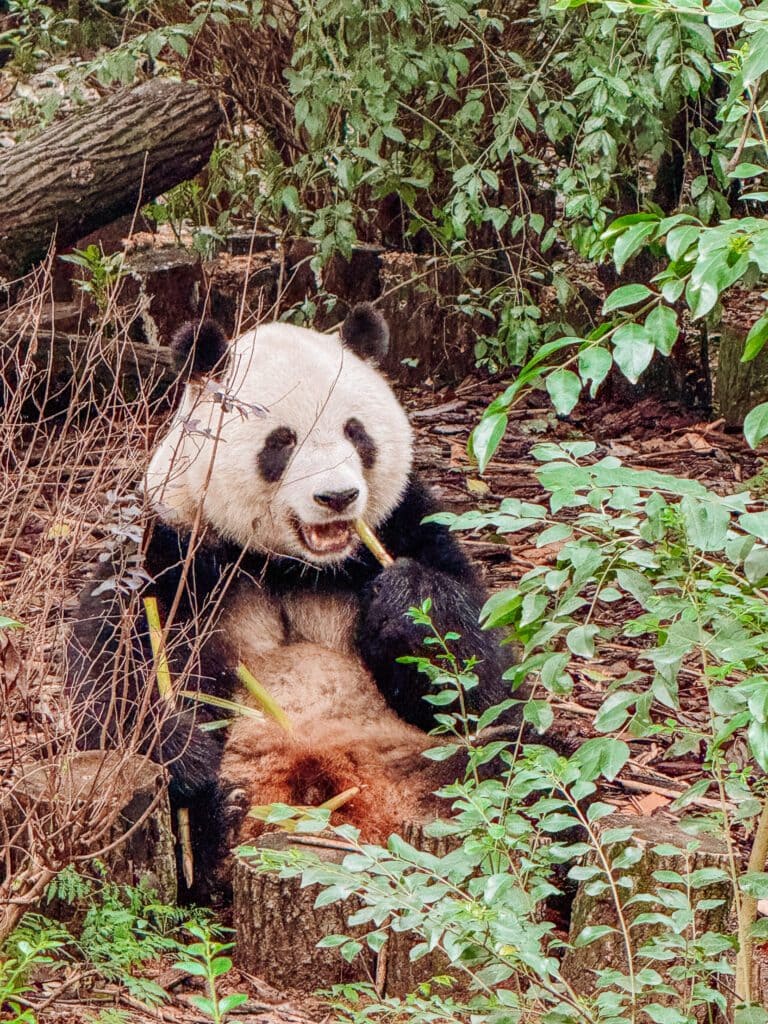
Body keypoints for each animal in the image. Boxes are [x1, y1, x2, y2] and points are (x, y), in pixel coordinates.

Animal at [68, 304, 517, 891]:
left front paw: (410, 600)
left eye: (356, 432)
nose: (338, 496)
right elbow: (107, 679)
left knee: (509, 763)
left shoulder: (407, 525)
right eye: (281, 442)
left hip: (423, 757)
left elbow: (482, 682)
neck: (291, 564)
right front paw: (183, 752)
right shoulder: (167, 545)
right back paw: (219, 816)